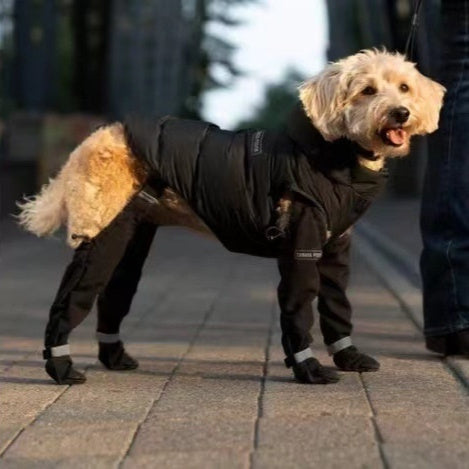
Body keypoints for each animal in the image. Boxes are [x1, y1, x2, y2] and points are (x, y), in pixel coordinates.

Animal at [17, 49, 442, 384]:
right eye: (367, 90)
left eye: (404, 88)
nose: (401, 113)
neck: (335, 155)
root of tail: (94, 138)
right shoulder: (301, 249)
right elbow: (299, 309)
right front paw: (309, 370)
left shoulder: (336, 247)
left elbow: (337, 304)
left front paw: (348, 357)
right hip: (100, 232)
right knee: (73, 298)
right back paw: (61, 367)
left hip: (131, 237)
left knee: (114, 295)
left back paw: (115, 358)